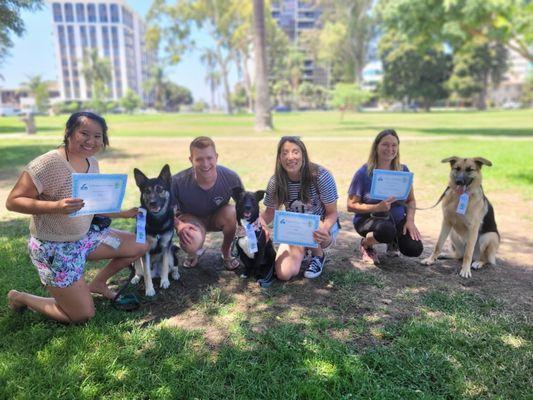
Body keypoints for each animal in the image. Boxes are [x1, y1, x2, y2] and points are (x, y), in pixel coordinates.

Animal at [130, 163, 179, 296]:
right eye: (147, 191)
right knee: (139, 271)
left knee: (173, 267)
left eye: (160, 189)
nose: (153, 202)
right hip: (136, 258)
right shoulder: (144, 250)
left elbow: (166, 266)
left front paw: (165, 281)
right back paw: (136, 278)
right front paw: (149, 289)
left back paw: (175, 274)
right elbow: (146, 272)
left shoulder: (166, 246)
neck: (157, 222)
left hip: (172, 254)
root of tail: (156, 273)